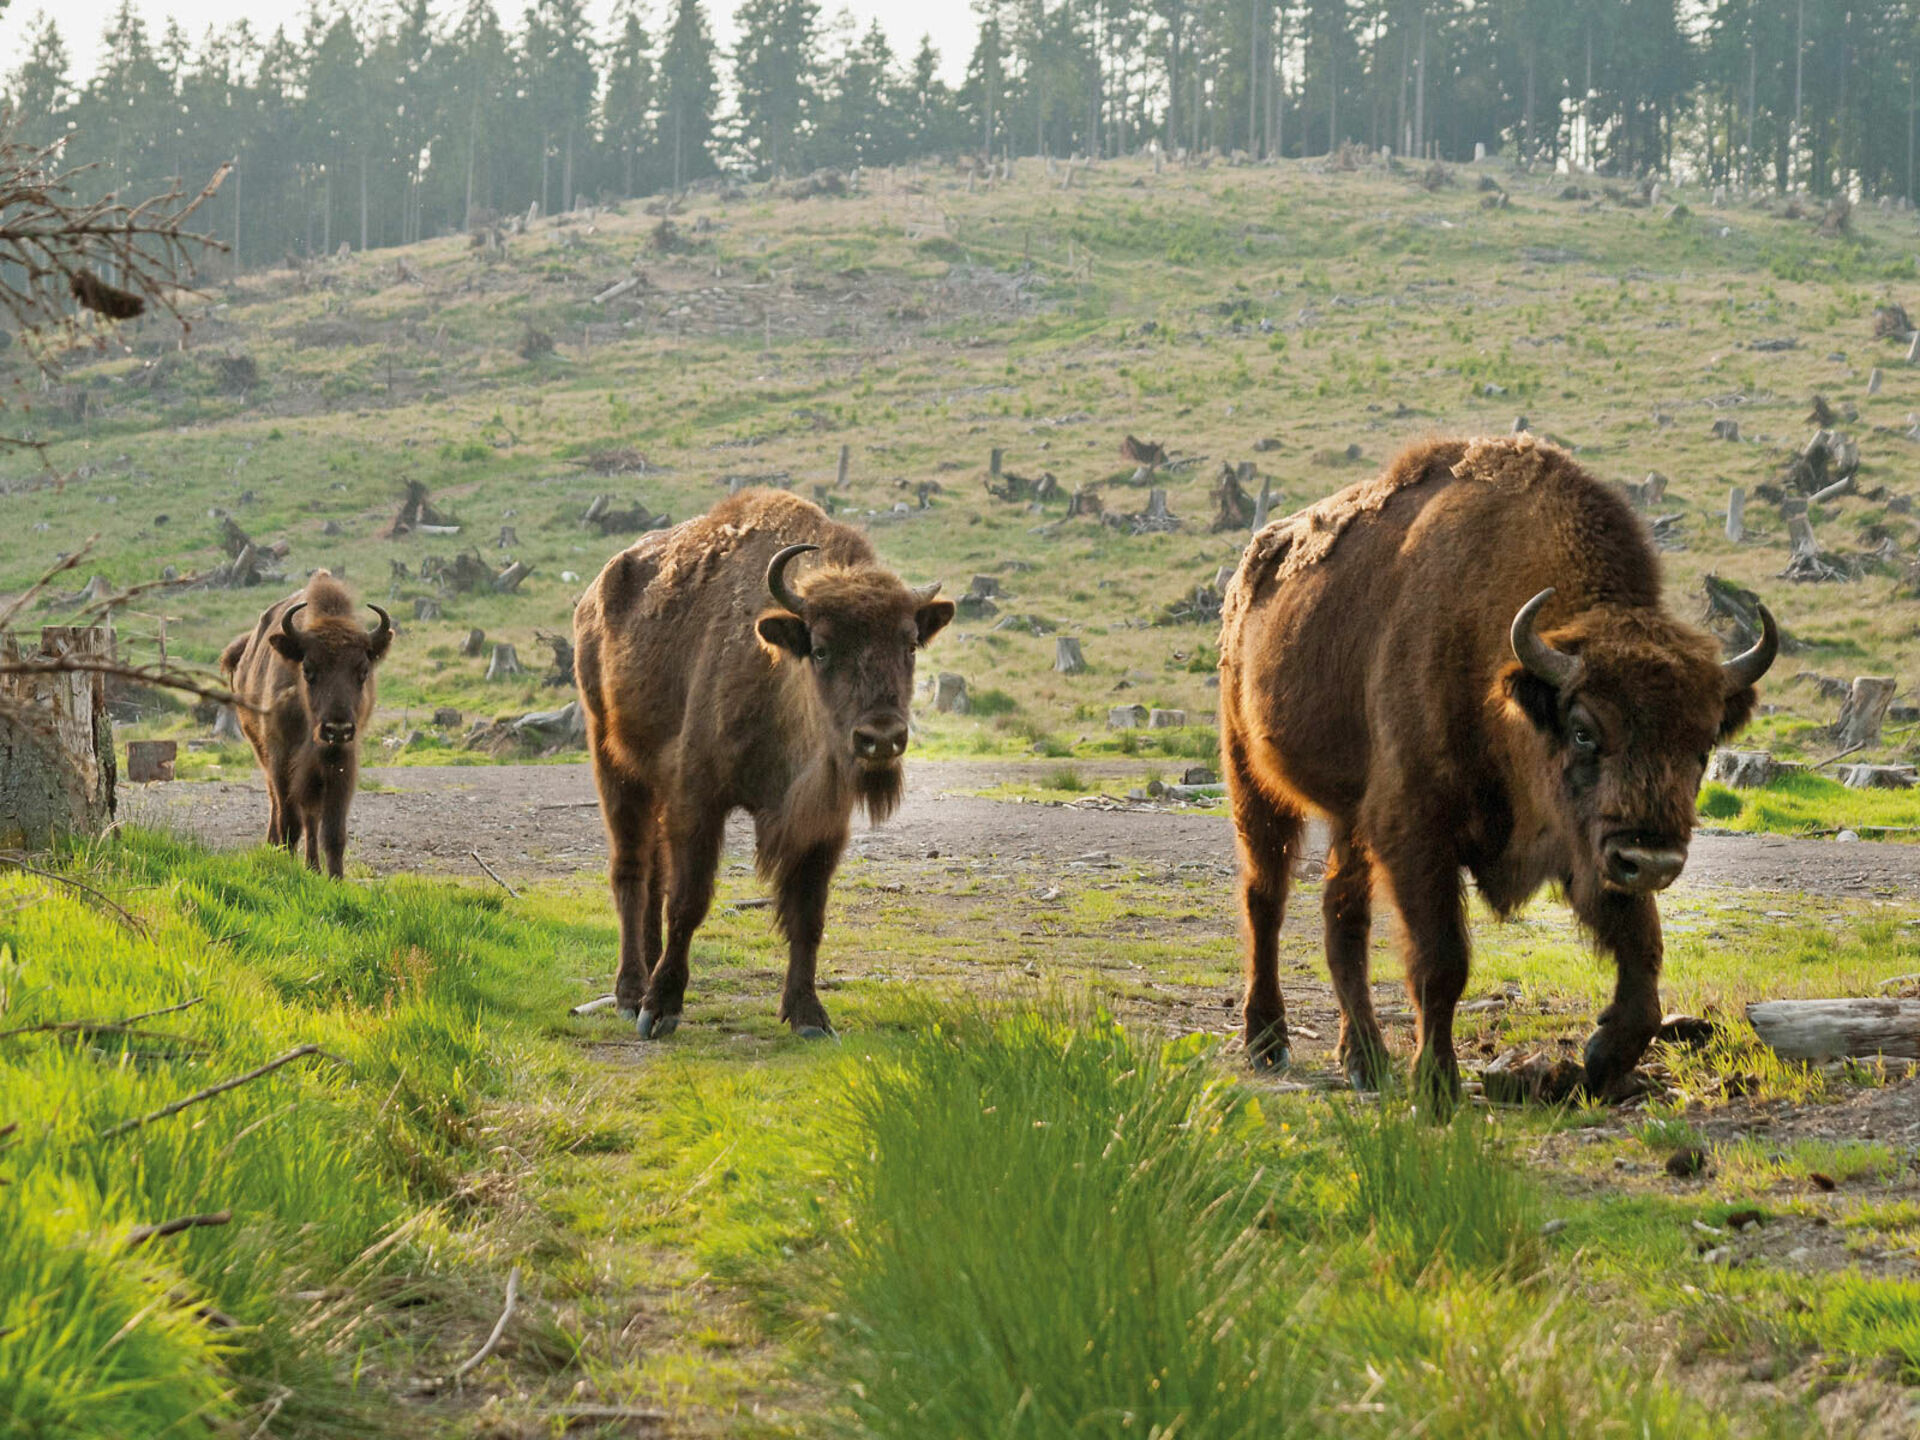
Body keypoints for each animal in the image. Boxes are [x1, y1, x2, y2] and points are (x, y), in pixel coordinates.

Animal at [219, 576, 391, 879]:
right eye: (309, 670)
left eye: (363, 671)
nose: (337, 728)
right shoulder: (281, 760)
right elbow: (289, 822)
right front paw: (286, 867)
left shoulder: (340, 763)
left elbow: (333, 831)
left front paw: (336, 878)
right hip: (262, 753)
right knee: (277, 805)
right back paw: (274, 847)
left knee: (312, 818)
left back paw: (313, 867)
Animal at [572, 491, 956, 1044]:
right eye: (820, 648)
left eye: (909, 645)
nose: (880, 737)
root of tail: (592, 598)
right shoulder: (699, 799)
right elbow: (688, 901)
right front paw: (660, 1010)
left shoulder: (823, 824)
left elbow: (807, 916)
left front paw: (809, 1015)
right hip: (614, 761)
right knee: (631, 871)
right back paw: (629, 994)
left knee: (652, 876)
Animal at [1221, 439, 1774, 1105]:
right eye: (1583, 729)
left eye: (1703, 744)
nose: (1652, 861)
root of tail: (1248, 574)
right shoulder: (1417, 831)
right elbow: (1441, 963)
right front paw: (1437, 1087)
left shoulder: (1582, 845)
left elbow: (1643, 950)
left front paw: (1601, 1059)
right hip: (1252, 777)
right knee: (1265, 898)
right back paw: (1268, 1042)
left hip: (1351, 817)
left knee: (1341, 917)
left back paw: (1365, 1060)